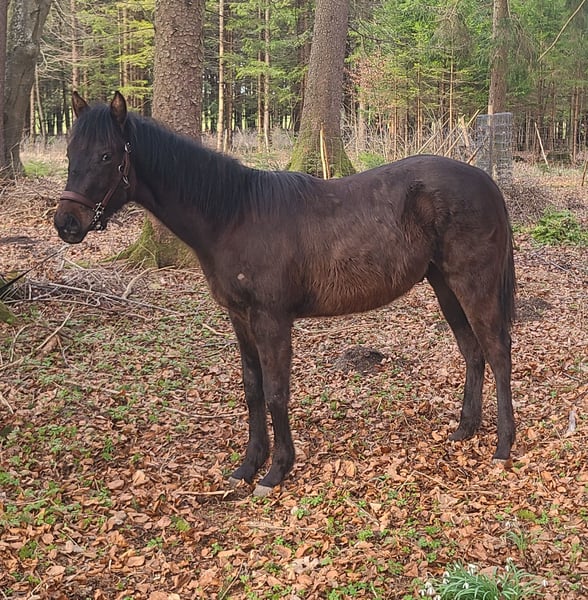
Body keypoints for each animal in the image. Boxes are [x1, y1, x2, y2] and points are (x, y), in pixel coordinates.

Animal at [54, 92, 516, 496]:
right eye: (70, 153)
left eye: (106, 156)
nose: (67, 223)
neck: (234, 214)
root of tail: (487, 181)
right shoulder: (239, 317)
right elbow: (253, 388)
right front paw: (248, 465)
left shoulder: (271, 318)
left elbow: (277, 391)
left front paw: (277, 470)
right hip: (445, 286)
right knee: (473, 352)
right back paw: (465, 429)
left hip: (472, 284)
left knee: (497, 353)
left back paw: (504, 445)